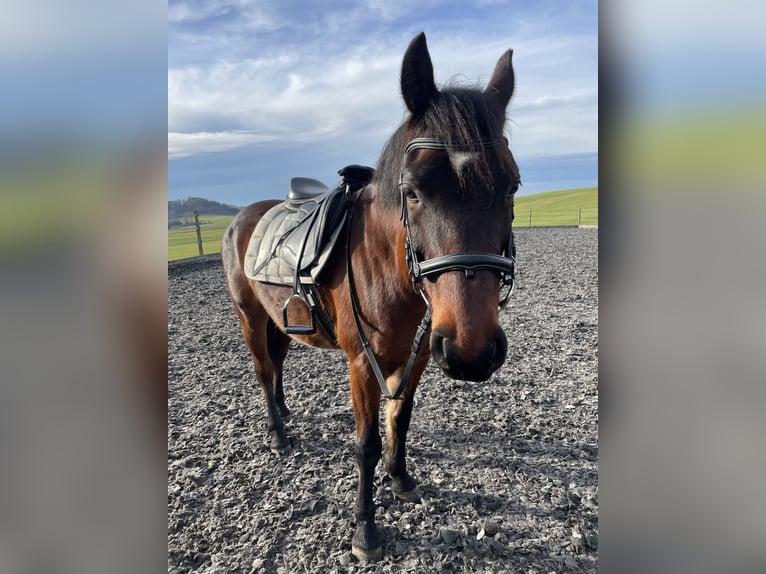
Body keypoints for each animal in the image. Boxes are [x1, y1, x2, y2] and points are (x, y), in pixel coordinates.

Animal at [221, 32, 520, 561]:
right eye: (414, 191)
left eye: (512, 187)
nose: (472, 351)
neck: (390, 269)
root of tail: (244, 216)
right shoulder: (362, 362)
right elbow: (366, 444)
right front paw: (365, 528)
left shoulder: (420, 354)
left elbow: (400, 417)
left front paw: (400, 479)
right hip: (250, 318)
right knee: (261, 370)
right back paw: (277, 433)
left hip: (281, 322)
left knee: (276, 365)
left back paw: (285, 412)